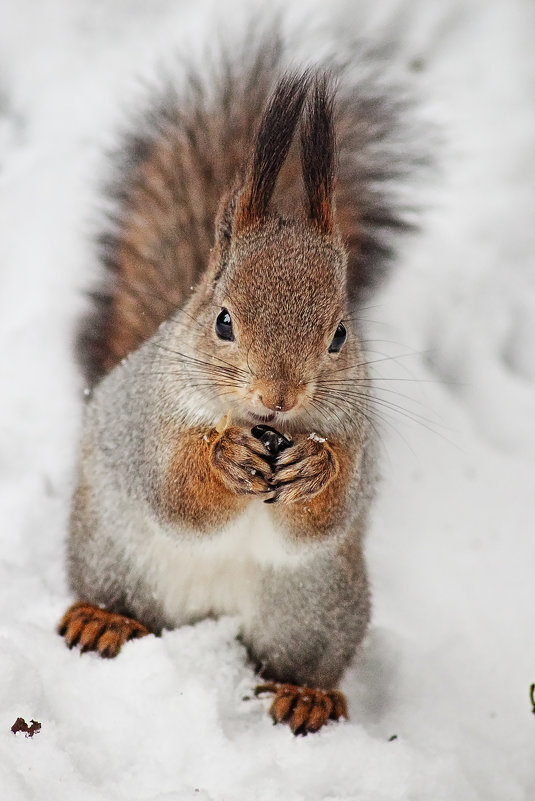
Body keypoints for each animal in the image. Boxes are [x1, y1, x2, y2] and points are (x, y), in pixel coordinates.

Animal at [56, 28, 420, 736]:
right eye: (223, 321)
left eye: (340, 334)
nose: (279, 398)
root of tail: (206, 617)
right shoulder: (151, 421)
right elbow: (176, 496)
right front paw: (223, 458)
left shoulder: (357, 435)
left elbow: (329, 514)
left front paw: (315, 468)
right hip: (112, 548)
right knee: (122, 595)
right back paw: (103, 618)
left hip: (315, 608)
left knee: (298, 660)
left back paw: (307, 695)